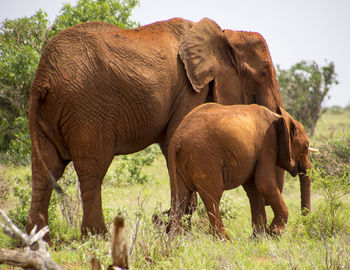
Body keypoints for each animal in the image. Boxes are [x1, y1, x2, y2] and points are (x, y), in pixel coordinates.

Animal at [24, 16, 296, 238]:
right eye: (263, 73)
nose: (272, 230)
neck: (225, 34)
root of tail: (42, 78)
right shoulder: (190, 91)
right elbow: (172, 143)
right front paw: (177, 230)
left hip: (48, 113)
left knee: (45, 170)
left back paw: (38, 240)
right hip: (87, 110)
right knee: (92, 169)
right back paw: (96, 236)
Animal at [168, 103, 314, 240]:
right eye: (305, 147)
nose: (304, 222)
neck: (279, 118)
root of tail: (176, 140)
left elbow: (254, 188)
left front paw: (259, 237)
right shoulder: (267, 143)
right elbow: (264, 183)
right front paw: (273, 232)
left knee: (181, 197)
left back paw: (175, 241)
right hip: (204, 159)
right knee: (212, 197)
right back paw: (225, 241)